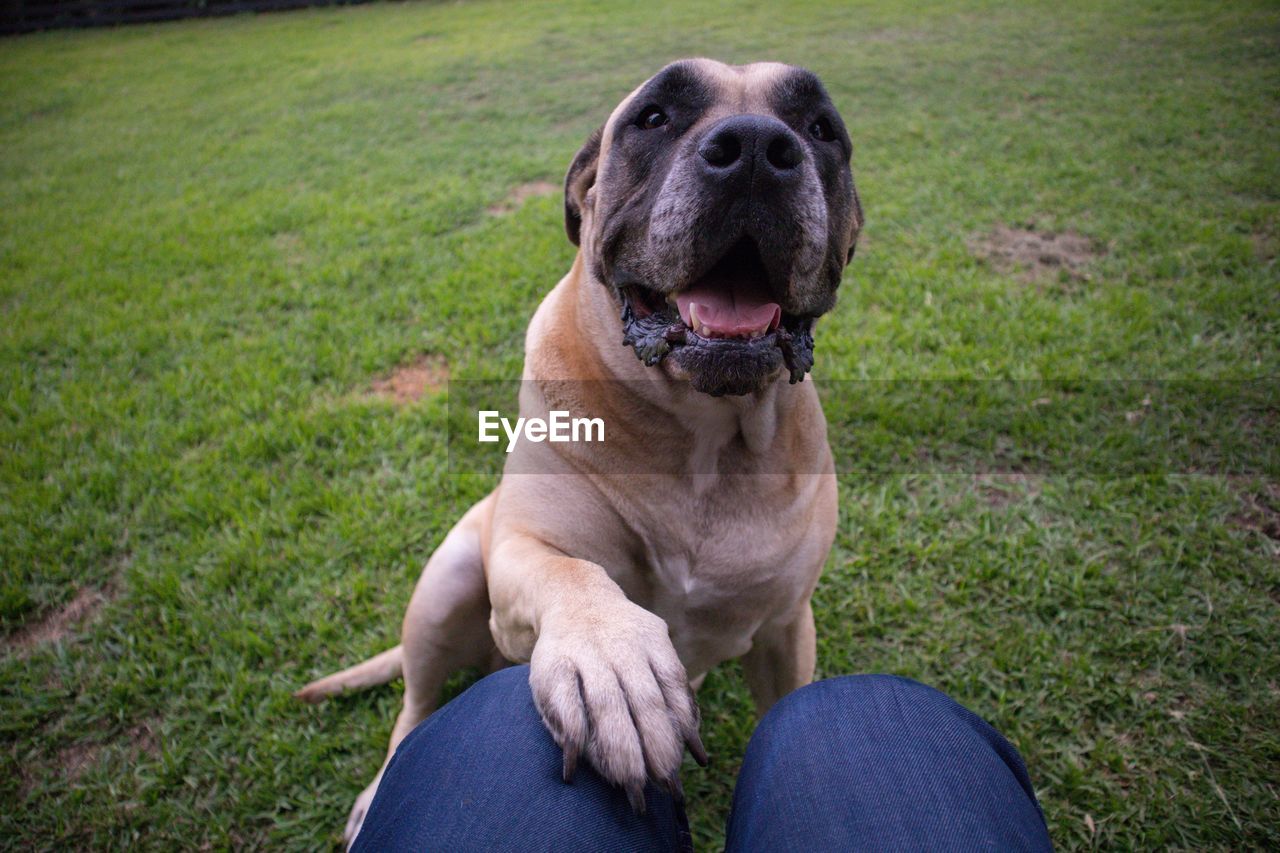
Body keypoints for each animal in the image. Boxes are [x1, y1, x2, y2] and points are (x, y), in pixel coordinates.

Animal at [296, 59, 860, 845]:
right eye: (653, 117)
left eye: (819, 128)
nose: (755, 147)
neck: (702, 435)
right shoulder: (523, 550)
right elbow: (570, 573)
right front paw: (612, 659)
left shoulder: (785, 627)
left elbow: (785, 705)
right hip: (446, 586)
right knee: (413, 708)